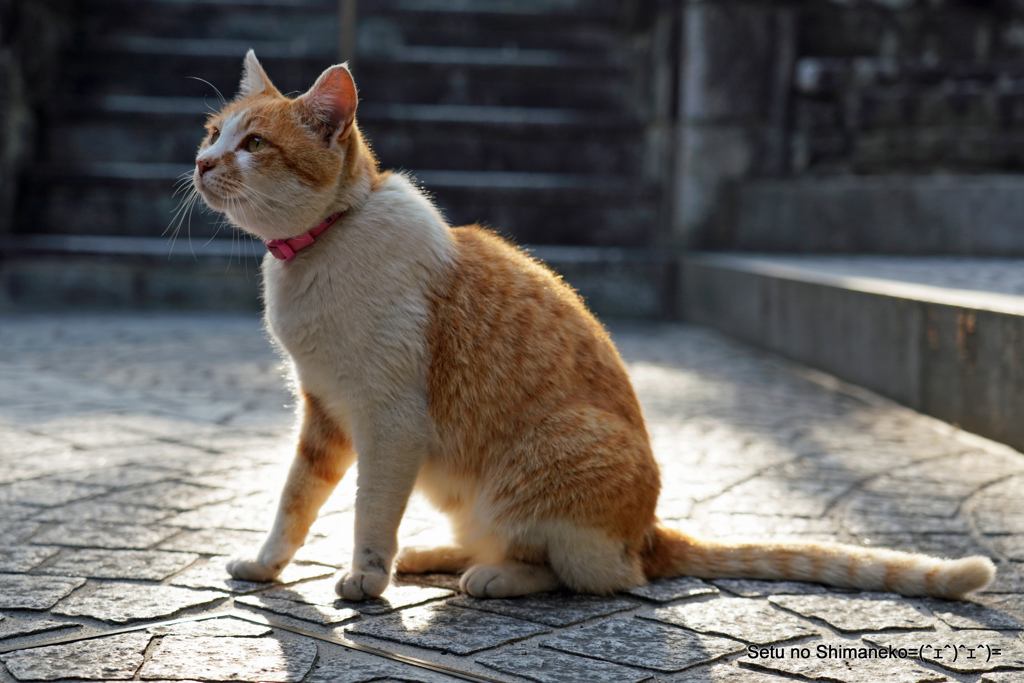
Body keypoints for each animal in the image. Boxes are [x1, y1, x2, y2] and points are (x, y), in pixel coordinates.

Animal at [195, 50, 995, 602]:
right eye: (211, 133)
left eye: (254, 144)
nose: (201, 163)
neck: (320, 246)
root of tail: (647, 529)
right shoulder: (324, 414)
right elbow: (296, 500)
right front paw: (266, 566)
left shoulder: (389, 421)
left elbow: (368, 510)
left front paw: (365, 577)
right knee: (517, 546)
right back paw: (432, 556)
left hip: (549, 457)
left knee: (587, 572)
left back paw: (486, 576)